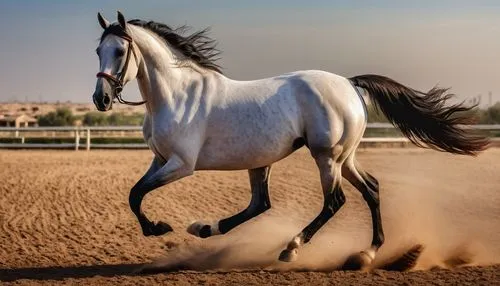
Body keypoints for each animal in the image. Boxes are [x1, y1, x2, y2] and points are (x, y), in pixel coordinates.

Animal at [92, 11, 486, 270]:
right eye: (98, 51)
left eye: (120, 51)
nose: (101, 99)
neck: (177, 95)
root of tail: (349, 83)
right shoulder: (160, 160)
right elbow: (134, 193)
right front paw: (163, 227)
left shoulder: (181, 164)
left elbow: (136, 194)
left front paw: (157, 228)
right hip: (333, 158)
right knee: (365, 190)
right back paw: (366, 254)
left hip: (326, 156)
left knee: (334, 201)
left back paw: (291, 248)